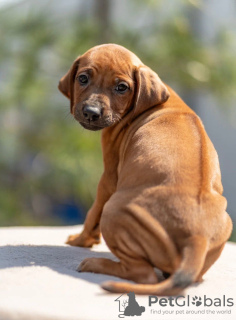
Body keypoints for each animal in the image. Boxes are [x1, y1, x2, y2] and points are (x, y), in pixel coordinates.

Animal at [58, 44, 231, 296]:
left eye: (122, 87)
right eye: (82, 78)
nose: (91, 112)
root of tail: (197, 236)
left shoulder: (109, 176)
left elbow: (92, 213)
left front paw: (81, 239)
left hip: (114, 212)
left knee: (143, 274)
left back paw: (96, 264)